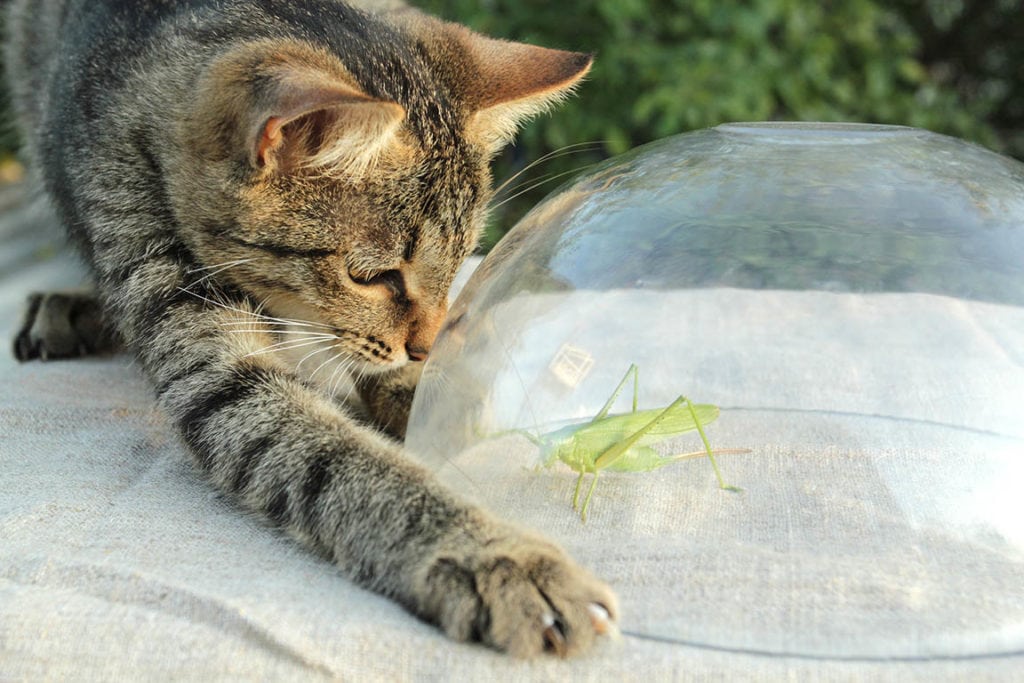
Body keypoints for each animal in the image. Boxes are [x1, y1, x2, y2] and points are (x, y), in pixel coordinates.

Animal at [6, 0, 614, 659]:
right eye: (372, 276)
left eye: (461, 259)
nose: (425, 344)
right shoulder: (208, 356)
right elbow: (337, 457)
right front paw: (497, 557)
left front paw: (428, 389)